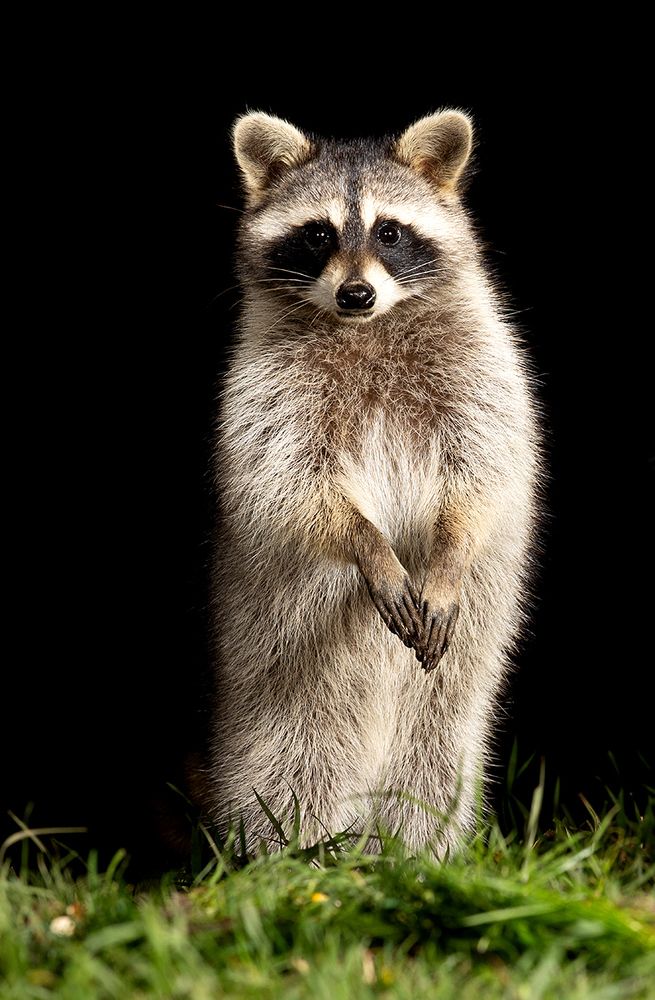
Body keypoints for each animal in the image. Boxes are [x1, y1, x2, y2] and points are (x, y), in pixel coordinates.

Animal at [205, 110, 540, 855]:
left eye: (389, 231)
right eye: (317, 234)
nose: (355, 293)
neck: (368, 325)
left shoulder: (483, 367)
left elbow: (487, 468)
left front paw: (451, 548)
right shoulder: (268, 392)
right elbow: (290, 484)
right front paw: (367, 546)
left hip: (462, 666)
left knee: (435, 756)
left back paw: (415, 857)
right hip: (281, 668)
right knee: (290, 762)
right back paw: (292, 856)